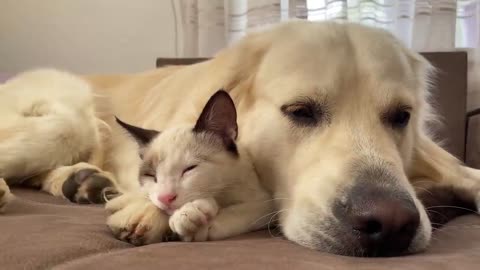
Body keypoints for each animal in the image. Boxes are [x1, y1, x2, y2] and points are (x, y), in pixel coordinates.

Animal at [116, 90, 274, 240]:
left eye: (189, 169)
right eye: (151, 176)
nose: (165, 198)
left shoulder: (265, 201)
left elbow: (241, 210)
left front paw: (193, 219)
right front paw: (187, 217)